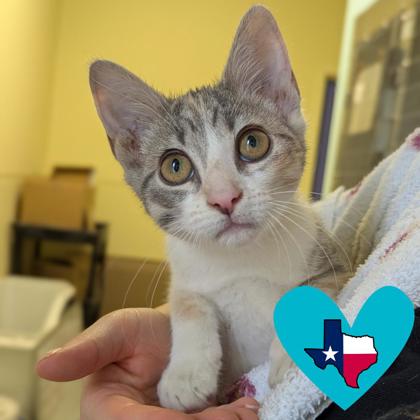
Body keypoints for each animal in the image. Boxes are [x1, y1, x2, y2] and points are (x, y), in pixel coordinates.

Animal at [89, 5, 349, 412]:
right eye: (174, 167)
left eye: (253, 142)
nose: (224, 198)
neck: (241, 262)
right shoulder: (187, 274)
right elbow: (188, 304)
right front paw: (184, 376)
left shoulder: (335, 261)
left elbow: (313, 292)